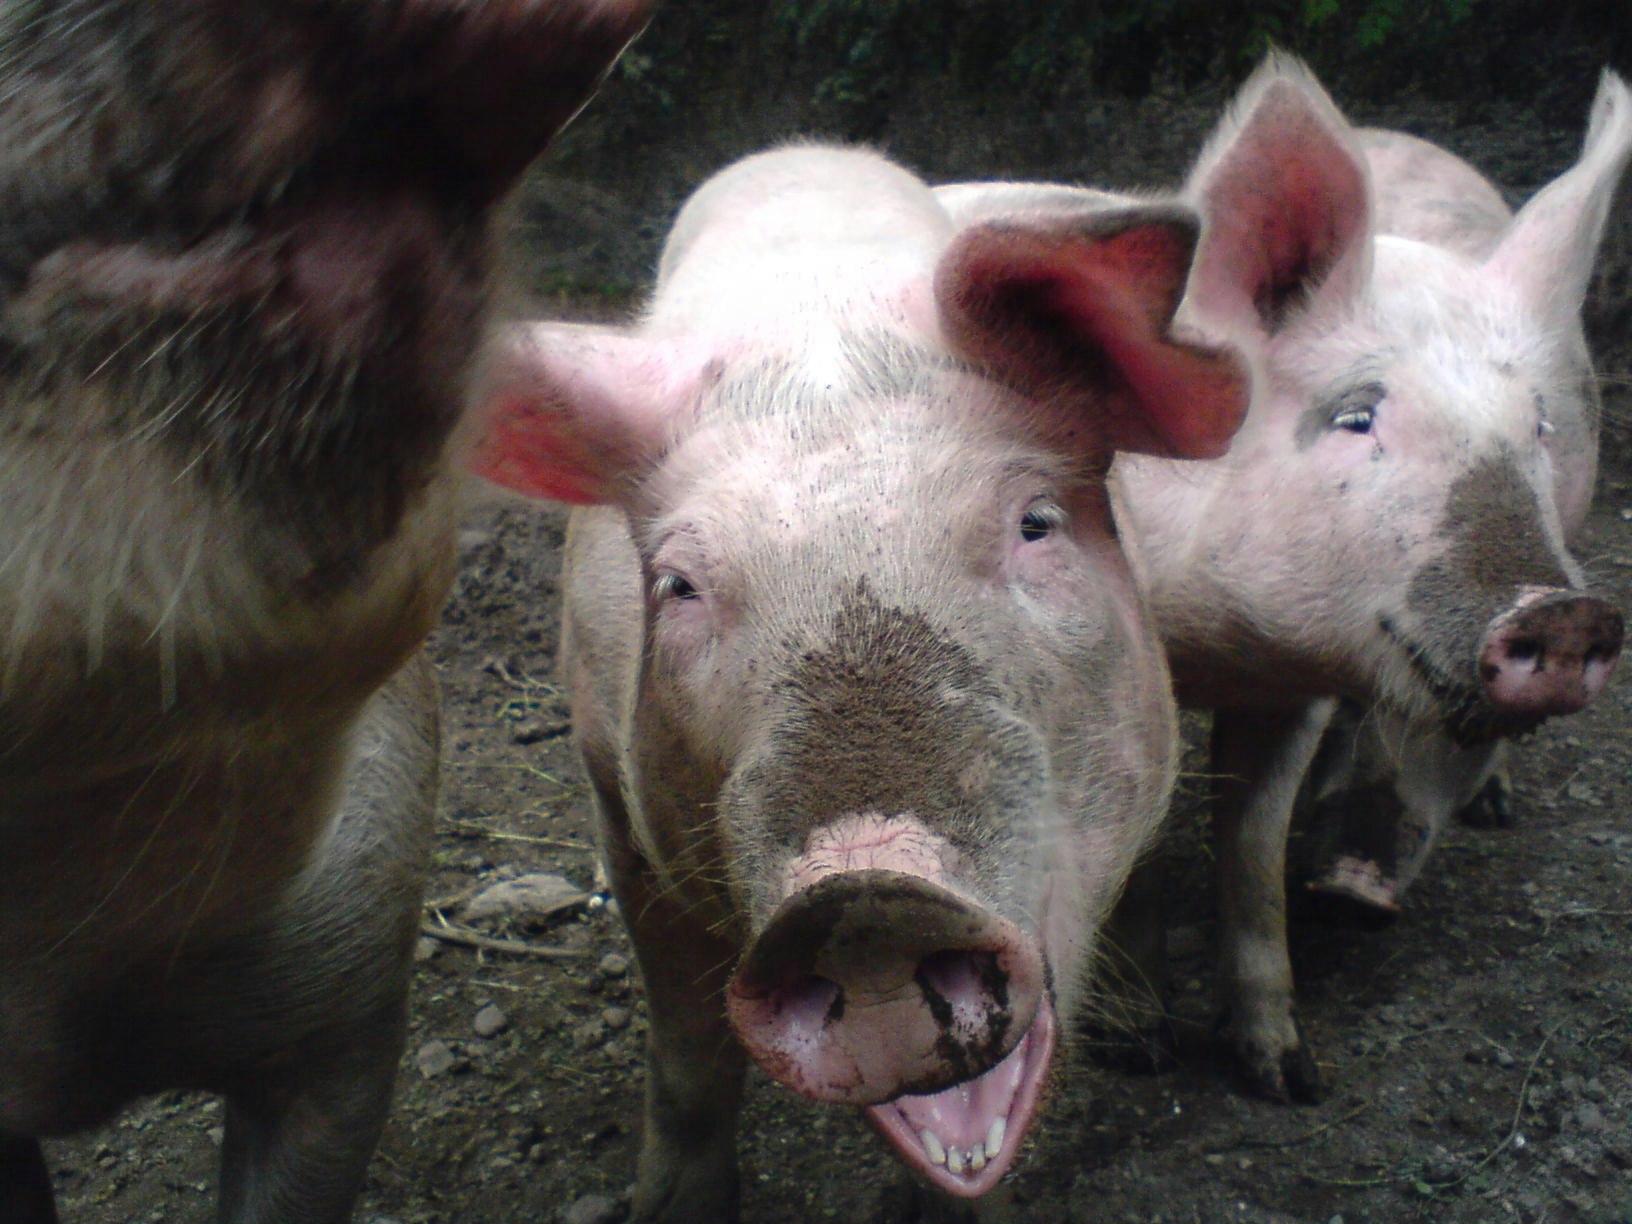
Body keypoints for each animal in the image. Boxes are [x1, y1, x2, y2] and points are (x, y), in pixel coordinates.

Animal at [935, 55, 1629, 1103]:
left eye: (1538, 426)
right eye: (1356, 416)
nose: (1564, 610)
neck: (1226, 644)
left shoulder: (1298, 686)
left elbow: (1253, 851)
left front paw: (1289, 1077)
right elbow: (1144, 855)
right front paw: (1141, 1047)